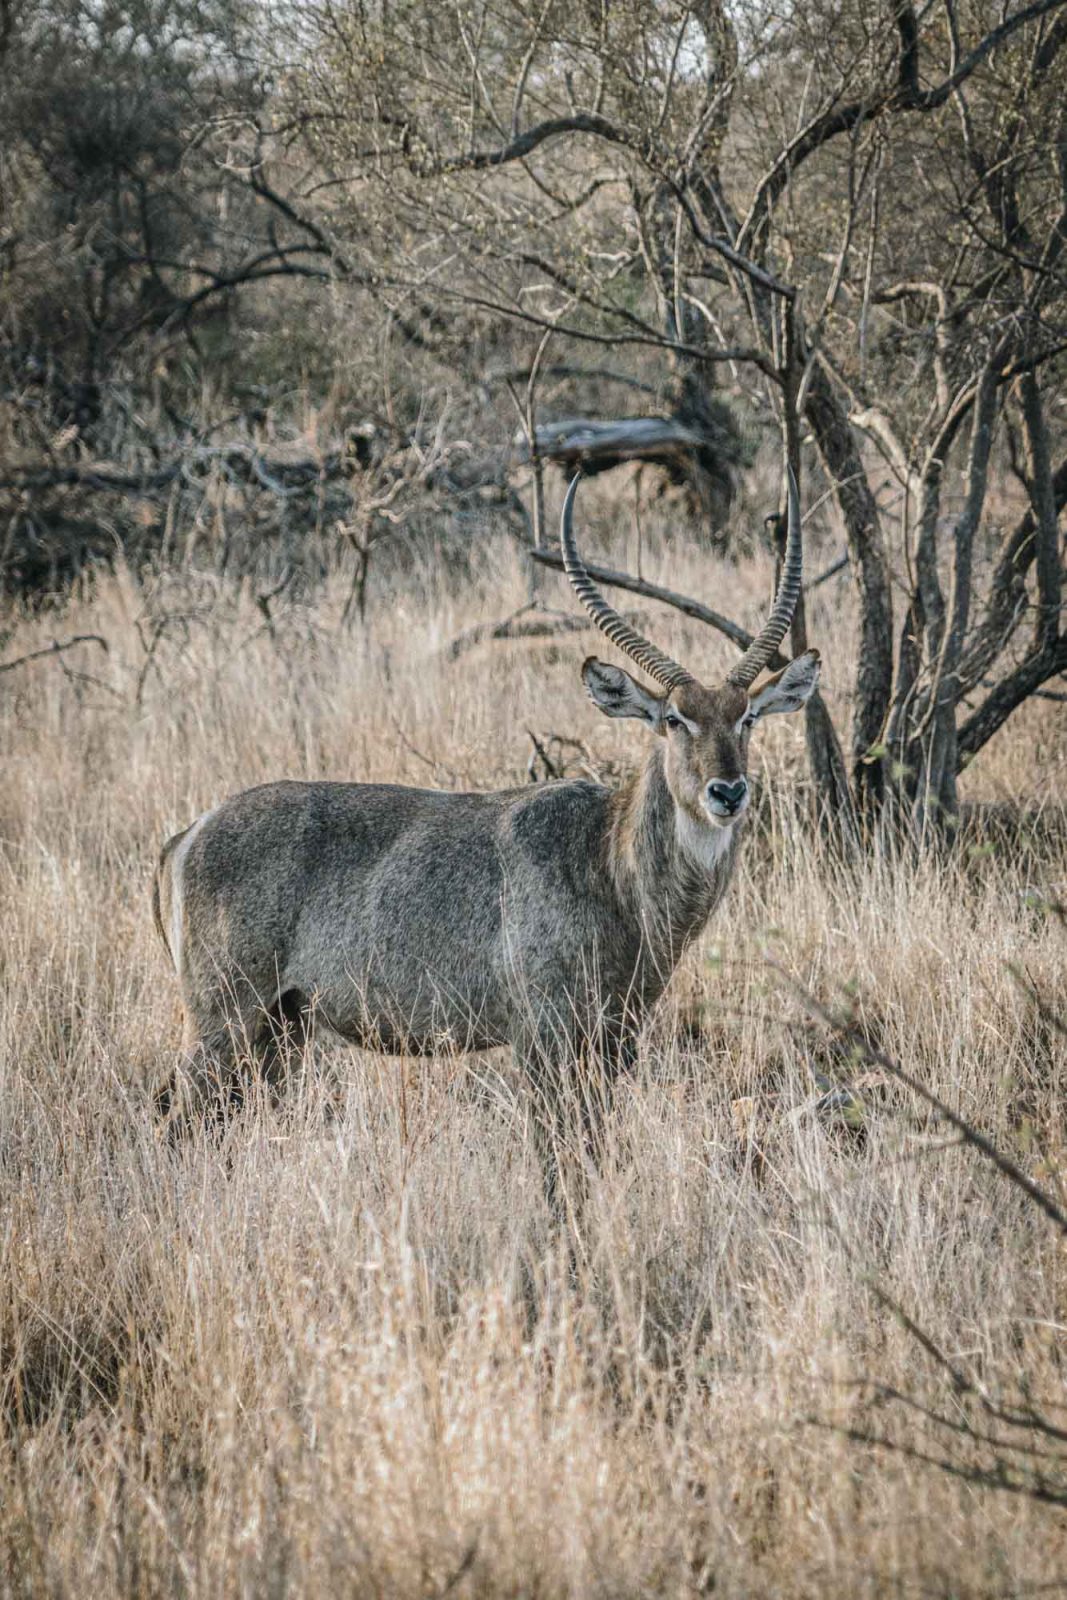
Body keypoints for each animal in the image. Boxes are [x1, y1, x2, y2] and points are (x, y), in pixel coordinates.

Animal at [151, 467, 819, 1177]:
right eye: (673, 718)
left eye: (747, 717)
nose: (728, 791)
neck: (608, 864)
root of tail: (186, 836)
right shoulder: (544, 1036)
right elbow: (557, 1160)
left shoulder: (613, 1039)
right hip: (222, 1017)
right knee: (174, 1121)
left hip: (280, 1030)